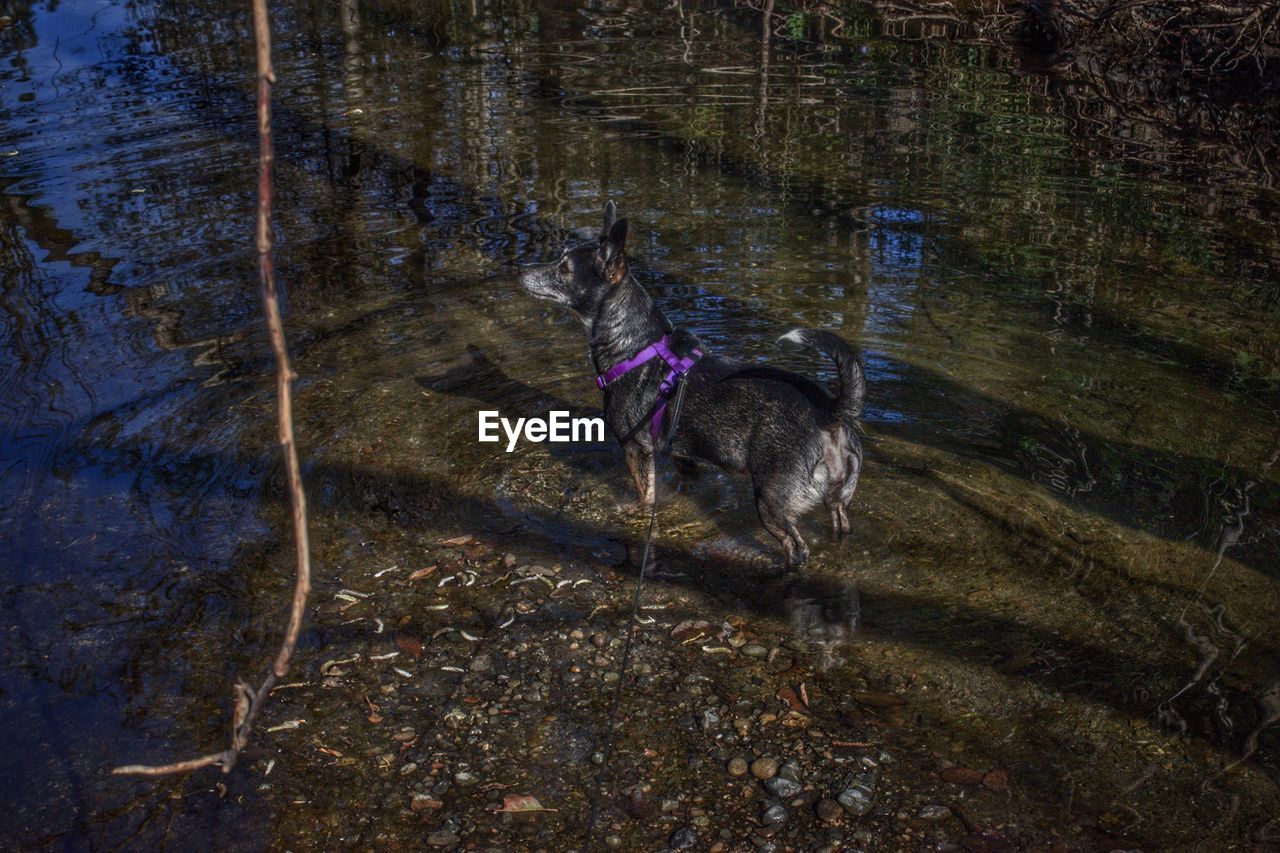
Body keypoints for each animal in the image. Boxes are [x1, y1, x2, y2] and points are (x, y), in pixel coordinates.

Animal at [519, 202, 870, 568]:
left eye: (564, 268)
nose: (520, 269)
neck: (634, 344)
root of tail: (829, 411)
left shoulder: (636, 450)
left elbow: (645, 499)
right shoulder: (682, 457)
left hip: (771, 501)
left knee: (796, 547)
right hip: (837, 500)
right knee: (840, 524)